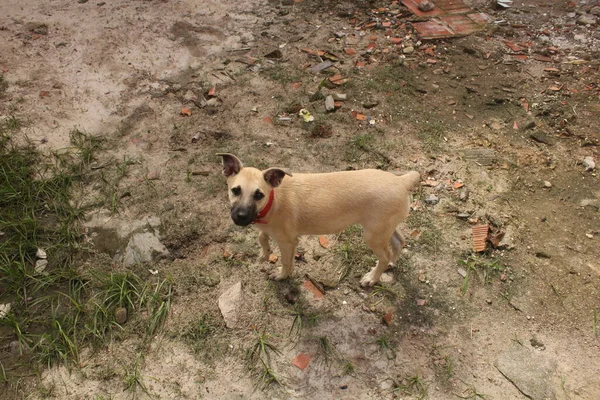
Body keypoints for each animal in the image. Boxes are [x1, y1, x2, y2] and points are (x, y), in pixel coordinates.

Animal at [218, 153, 420, 288]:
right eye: (235, 190)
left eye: (258, 195)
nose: (241, 217)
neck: (272, 201)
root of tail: (401, 181)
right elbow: (262, 237)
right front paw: (265, 253)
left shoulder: (287, 242)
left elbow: (286, 262)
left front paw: (282, 276)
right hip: (384, 228)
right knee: (398, 242)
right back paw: (391, 263)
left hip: (373, 235)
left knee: (384, 256)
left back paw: (372, 277)